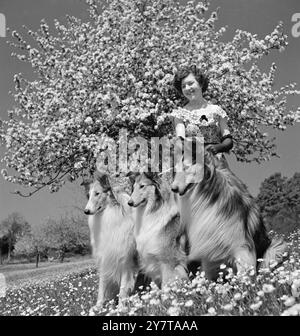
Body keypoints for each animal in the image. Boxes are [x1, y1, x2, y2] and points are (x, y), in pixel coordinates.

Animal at [83, 173, 137, 310]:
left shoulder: (125, 260)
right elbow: (101, 287)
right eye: (88, 195)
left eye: (97, 193)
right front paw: (98, 307)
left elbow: (123, 288)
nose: (86, 211)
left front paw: (121, 308)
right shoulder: (105, 258)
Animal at [171, 138, 286, 280]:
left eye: (186, 168)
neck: (206, 195)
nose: (173, 189)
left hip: (275, 248)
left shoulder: (242, 247)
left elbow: (244, 275)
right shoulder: (208, 252)